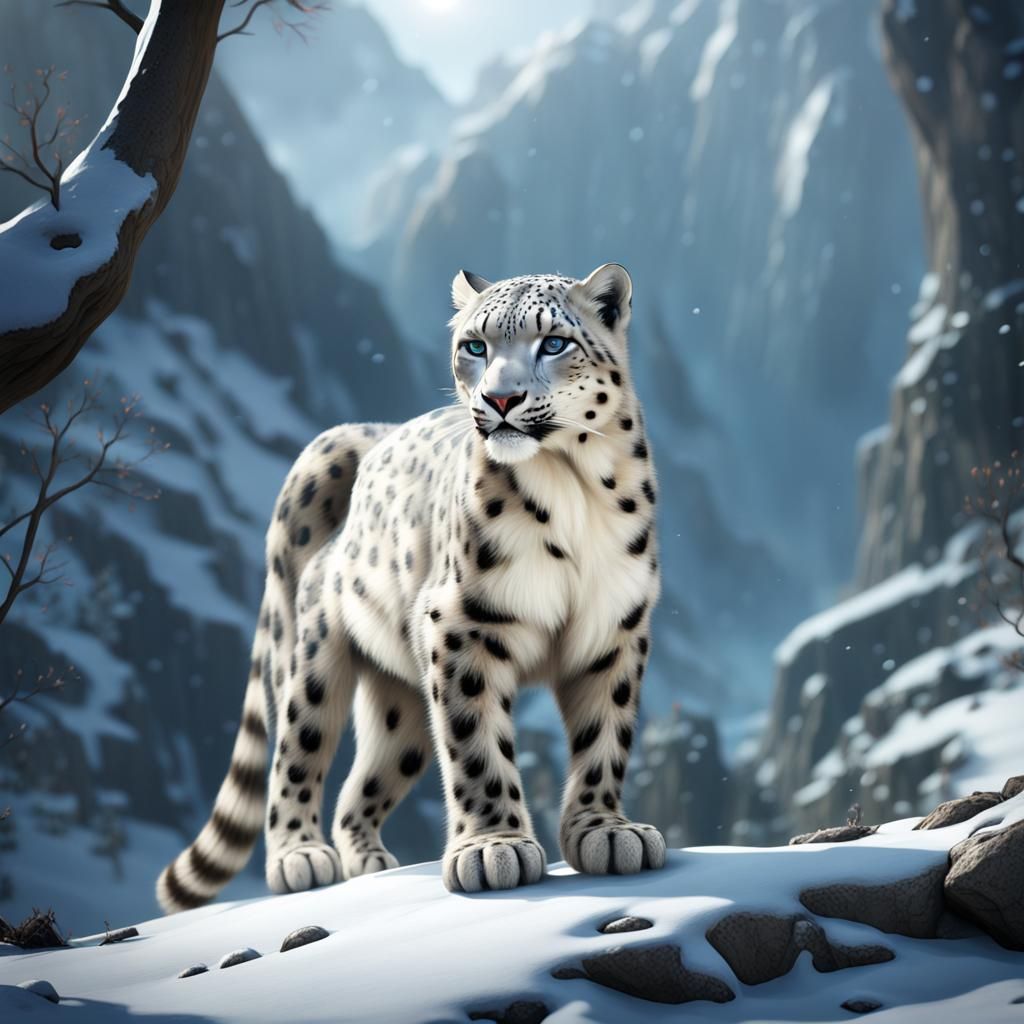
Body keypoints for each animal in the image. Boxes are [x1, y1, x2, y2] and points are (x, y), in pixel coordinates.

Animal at [157, 263, 665, 912]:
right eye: (474, 346)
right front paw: (493, 848)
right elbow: (475, 741)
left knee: (363, 783)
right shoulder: (462, 622)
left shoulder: (613, 626)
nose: (500, 399)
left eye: (554, 343)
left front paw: (608, 833)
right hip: (311, 661)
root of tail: (375, 434)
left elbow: (605, 736)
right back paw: (300, 857)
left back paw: (369, 862)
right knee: (294, 756)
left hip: (401, 704)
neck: (571, 484)